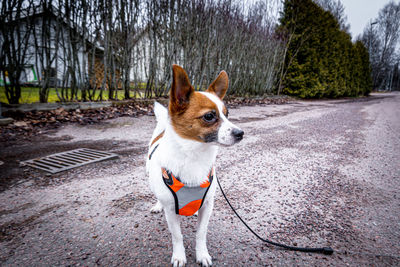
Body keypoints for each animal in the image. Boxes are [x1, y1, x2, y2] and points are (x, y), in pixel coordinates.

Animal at [145, 65, 242, 267]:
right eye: (209, 116)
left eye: (227, 114)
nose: (241, 133)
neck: (194, 155)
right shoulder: (171, 212)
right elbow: (177, 236)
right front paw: (179, 256)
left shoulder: (208, 206)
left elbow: (201, 233)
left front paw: (202, 253)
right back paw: (157, 205)